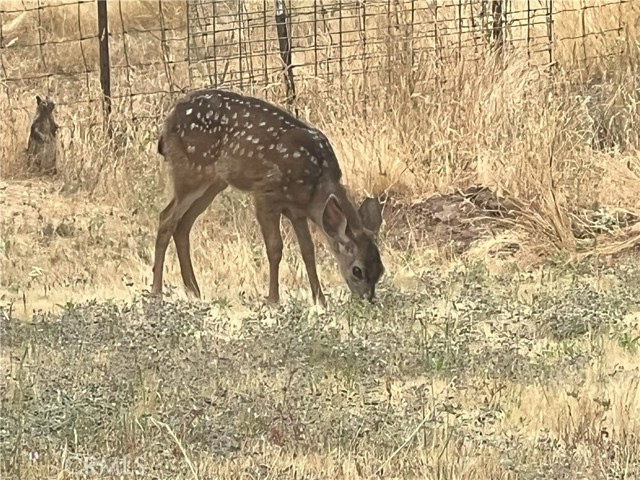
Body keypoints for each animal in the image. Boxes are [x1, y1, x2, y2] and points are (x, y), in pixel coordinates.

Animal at [154, 88, 384, 306]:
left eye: (380, 270)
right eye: (357, 270)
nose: (367, 300)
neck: (316, 186)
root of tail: (168, 120)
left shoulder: (297, 210)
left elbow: (308, 251)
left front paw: (320, 300)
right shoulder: (266, 194)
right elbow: (275, 248)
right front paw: (273, 300)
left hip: (213, 183)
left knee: (183, 224)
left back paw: (194, 290)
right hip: (191, 171)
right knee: (166, 218)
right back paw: (157, 292)